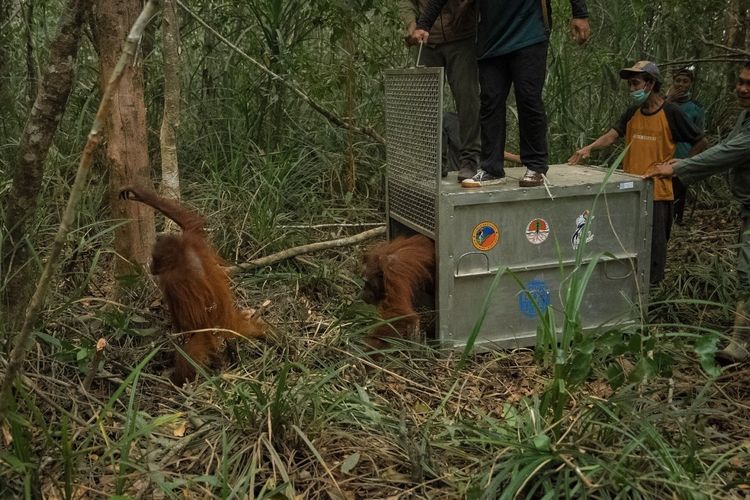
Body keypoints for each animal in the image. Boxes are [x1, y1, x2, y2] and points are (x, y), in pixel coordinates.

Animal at [119, 185, 264, 386]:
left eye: (156, 259)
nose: (152, 267)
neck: (182, 254)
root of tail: (228, 320)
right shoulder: (192, 235)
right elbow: (189, 218)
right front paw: (138, 194)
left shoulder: (171, 280)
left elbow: (186, 315)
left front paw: (178, 335)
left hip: (207, 332)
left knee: (190, 351)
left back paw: (178, 383)